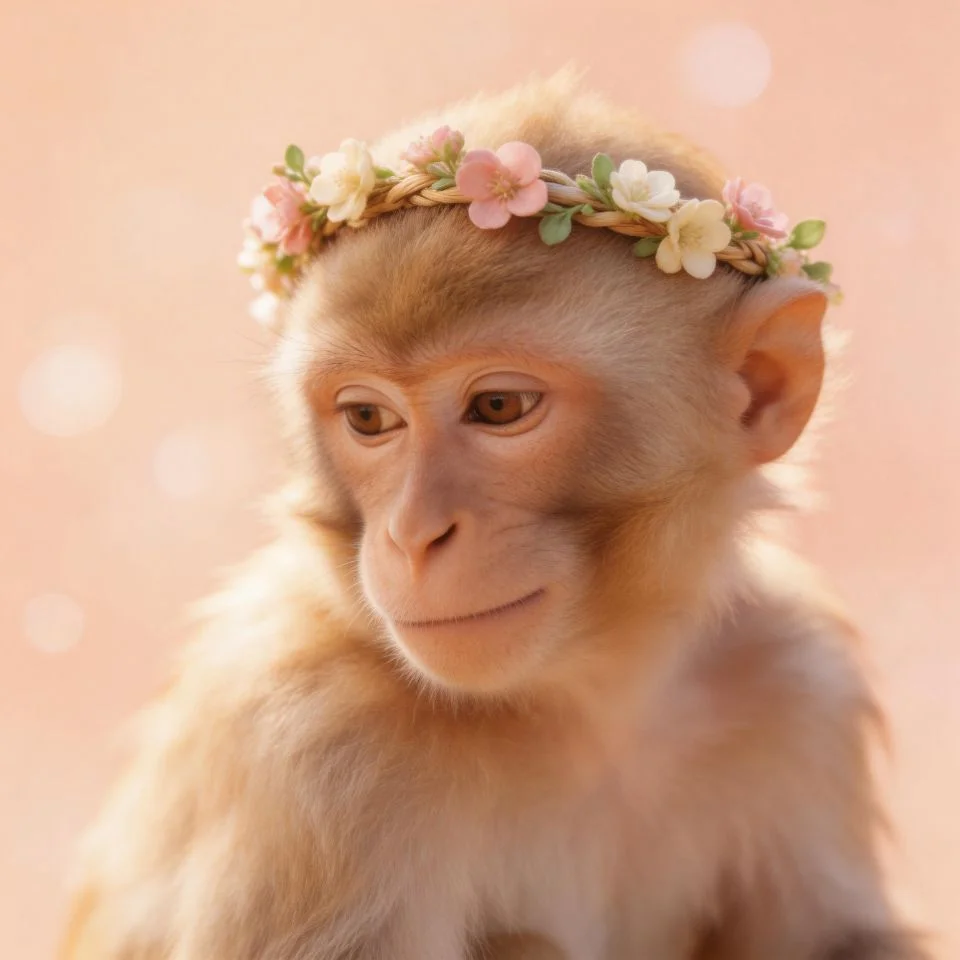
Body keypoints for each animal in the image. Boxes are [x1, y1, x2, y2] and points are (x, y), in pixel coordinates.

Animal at [60, 73, 932, 960]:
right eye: (369, 418)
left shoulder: (800, 677)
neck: (588, 704)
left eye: (499, 407)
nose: (413, 535)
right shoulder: (311, 742)